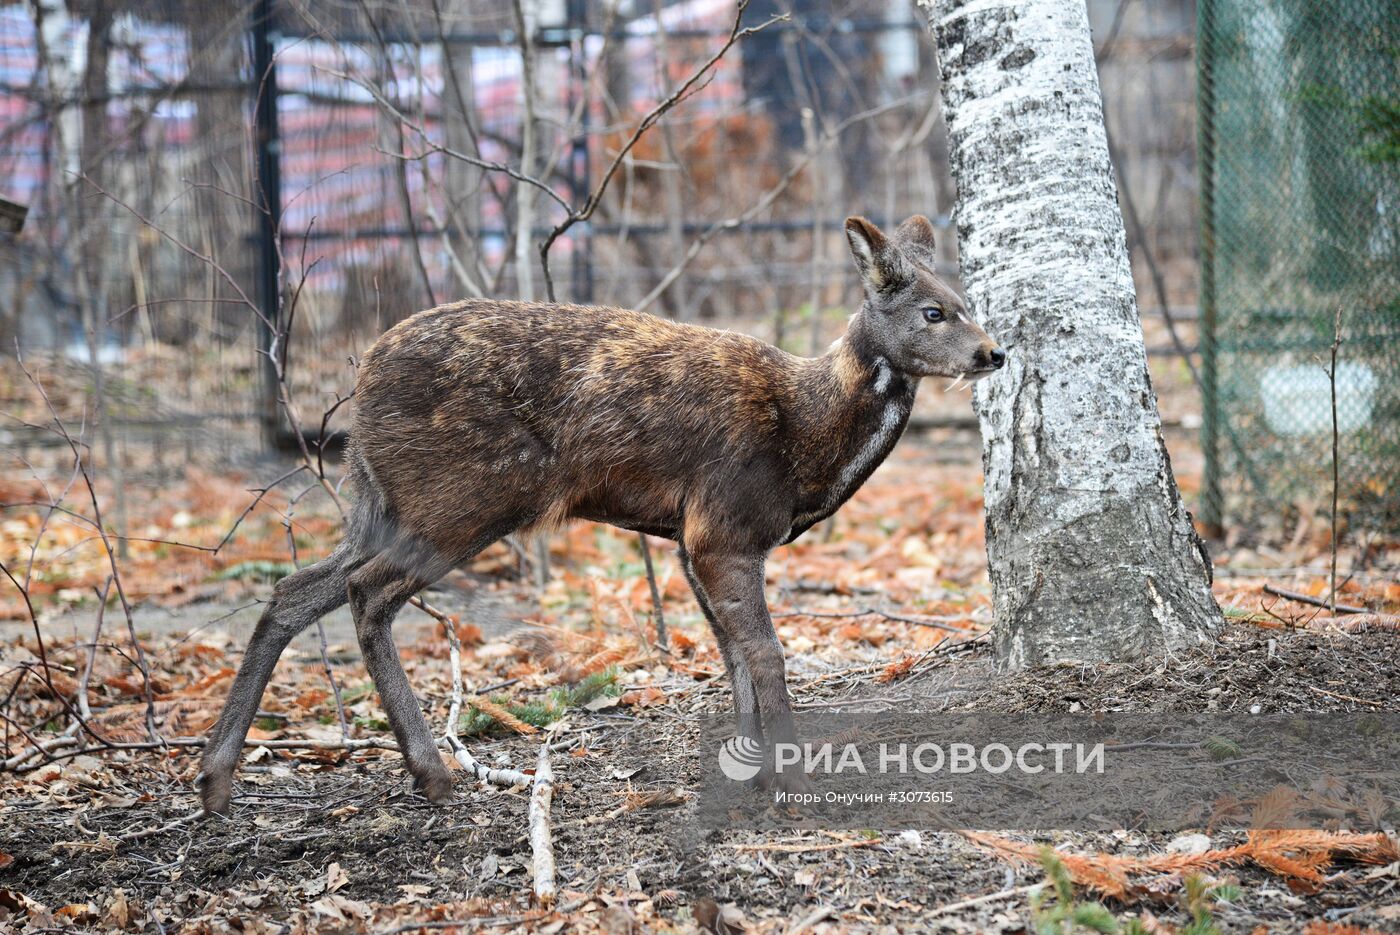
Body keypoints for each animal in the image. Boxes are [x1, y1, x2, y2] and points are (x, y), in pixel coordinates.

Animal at [200, 215, 1008, 811]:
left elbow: (731, 655)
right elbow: (766, 652)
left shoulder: (688, 539)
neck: (807, 438)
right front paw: (790, 775)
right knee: (366, 592)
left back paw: (215, 779)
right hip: (465, 499)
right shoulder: (724, 524)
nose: (993, 353)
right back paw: (432, 773)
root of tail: (362, 376)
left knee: (292, 589)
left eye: (970, 304)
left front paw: (748, 767)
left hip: (385, 501)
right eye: (933, 311)